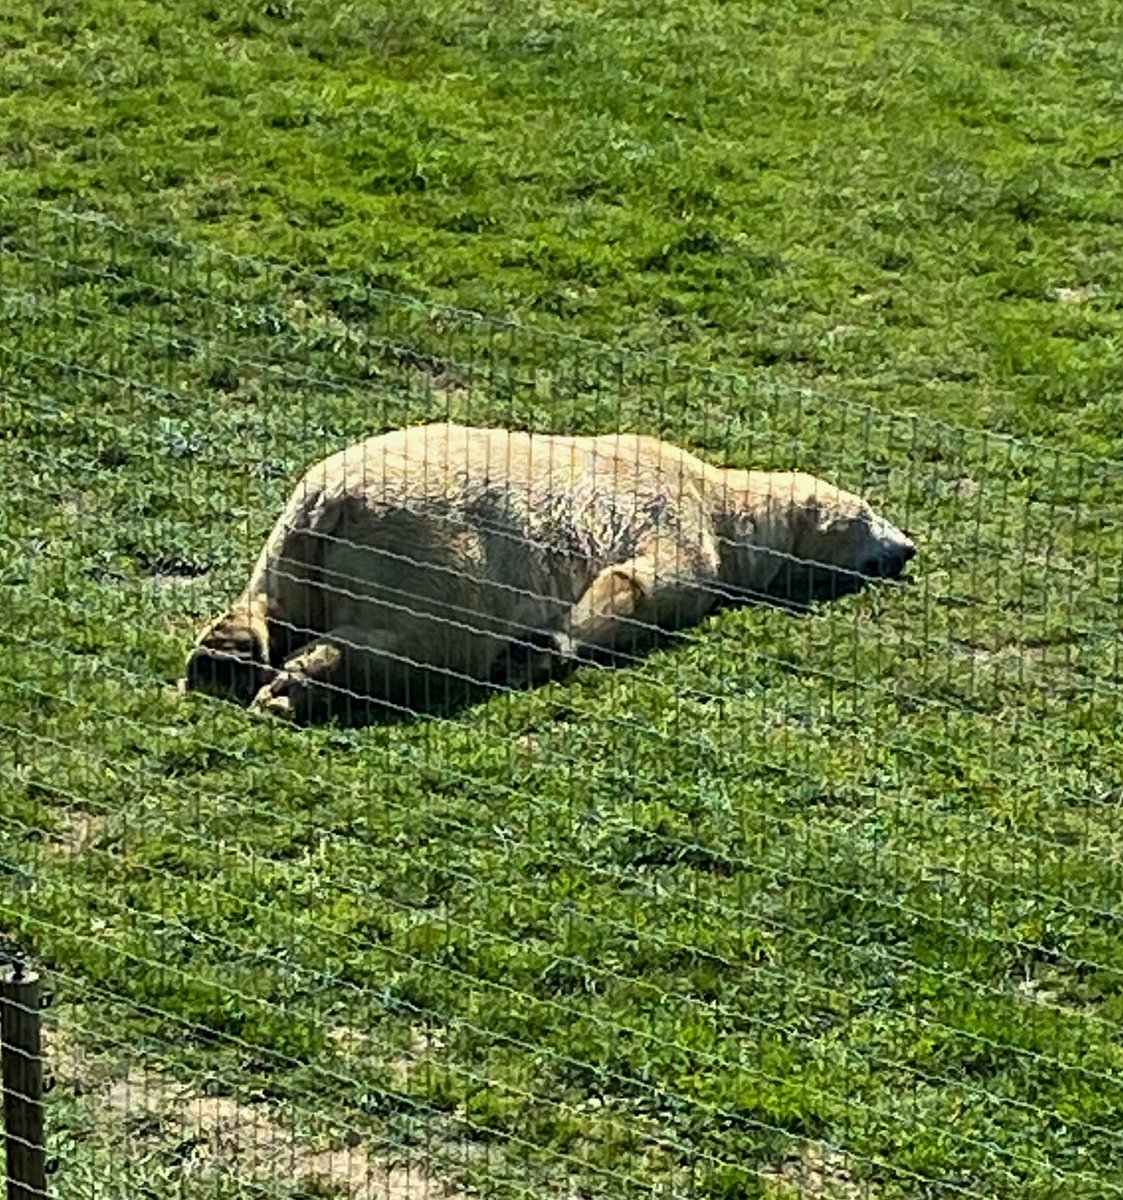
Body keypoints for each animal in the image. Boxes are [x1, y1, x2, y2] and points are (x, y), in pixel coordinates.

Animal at [184, 422, 915, 721]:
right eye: (870, 511)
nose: (907, 548)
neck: (719, 499)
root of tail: (334, 501)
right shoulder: (673, 523)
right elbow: (635, 588)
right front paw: (541, 651)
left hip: (293, 530)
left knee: (269, 597)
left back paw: (224, 652)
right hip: (432, 546)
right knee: (427, 638)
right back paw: (293, 685)